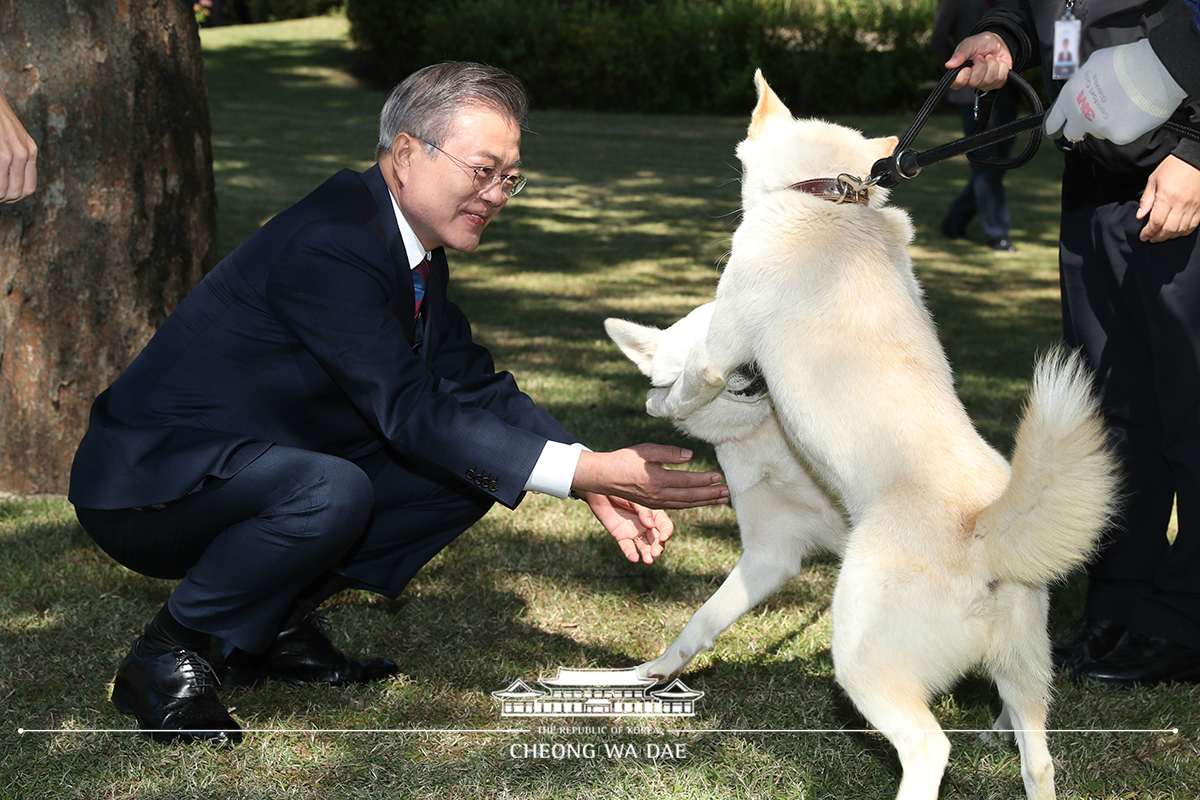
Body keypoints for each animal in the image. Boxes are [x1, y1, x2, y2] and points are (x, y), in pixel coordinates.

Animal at [604, 70, 1118, 800]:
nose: (751, 381)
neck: (827, 199)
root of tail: (984, 528)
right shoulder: (768, 556)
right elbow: (699, 623)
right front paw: (651, 673)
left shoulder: (720, 349)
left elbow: (691, 378)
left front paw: (662, 399)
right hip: (1024, 673)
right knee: (1037, 757)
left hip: (862, 659)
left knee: (930, 748)